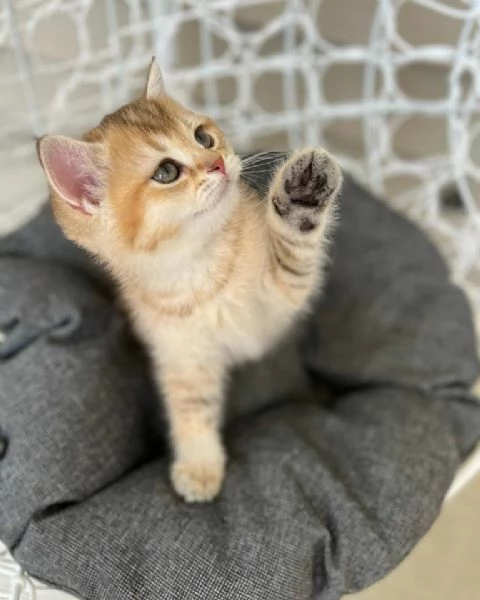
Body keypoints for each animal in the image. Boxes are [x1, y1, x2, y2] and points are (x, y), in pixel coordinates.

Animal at [38, 59, 342, 502]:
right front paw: (199, 466)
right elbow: (191, 407)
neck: (201, 269)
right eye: (166, 172)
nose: (218, 162)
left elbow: (294, 253)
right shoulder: (182, 355)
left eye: (203, 136)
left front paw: (302, 193)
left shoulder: (275, 306)